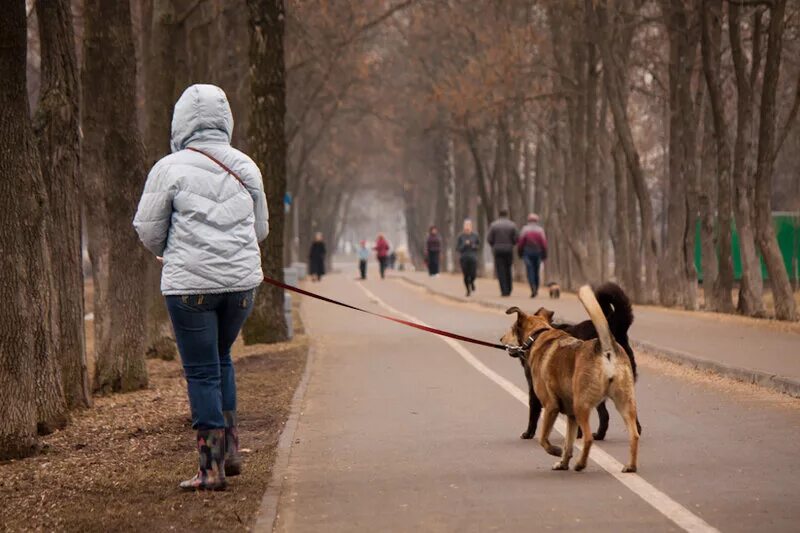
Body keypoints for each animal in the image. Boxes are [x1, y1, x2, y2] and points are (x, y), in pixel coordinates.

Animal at [504, 284, 640, 472]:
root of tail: (605, 344)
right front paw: (563, 461)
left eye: (511, 329)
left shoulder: (548, 404)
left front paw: (549, 446)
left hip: (582, 405)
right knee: (633, 432)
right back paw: (629, 464)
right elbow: (568, 442)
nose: (500, 339)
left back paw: (581, 463)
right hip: (623, 400)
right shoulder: (570, 413)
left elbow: (542, 435)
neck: (539, 335)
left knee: (590, 436)